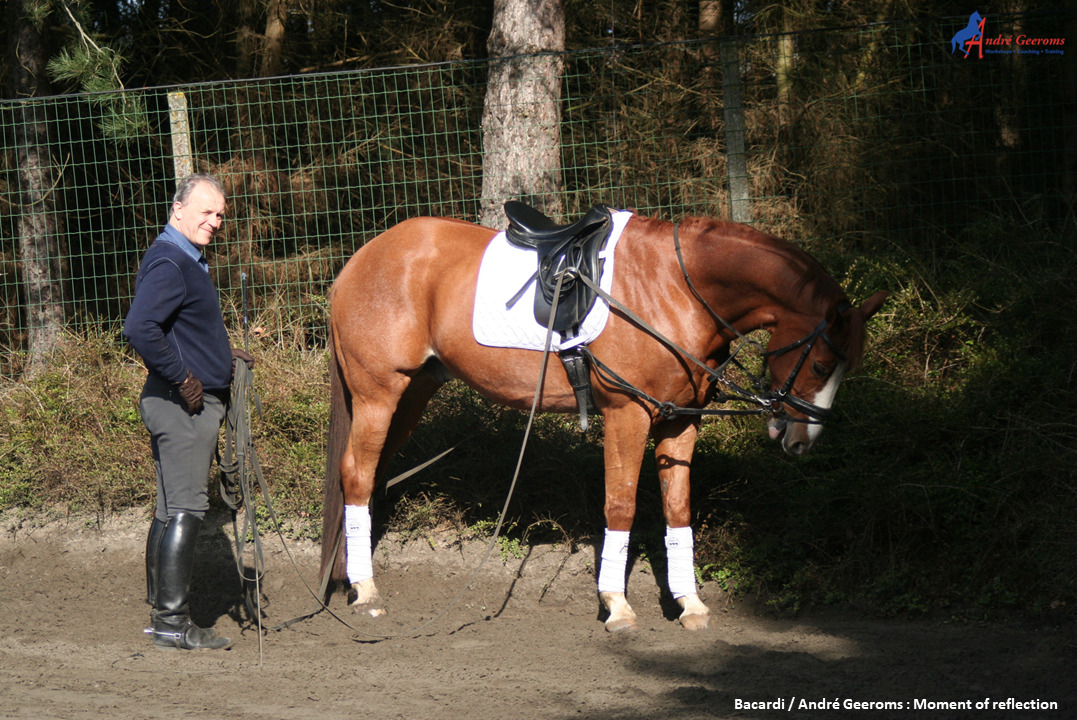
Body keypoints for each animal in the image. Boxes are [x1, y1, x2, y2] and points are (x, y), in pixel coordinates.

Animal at [314, 210, 887, 632]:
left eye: (847, 368)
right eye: (821, 364)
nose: (802, 441)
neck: (678, 291)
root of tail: (358, 260)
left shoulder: (680, 421)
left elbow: (678, 509)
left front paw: (689, 603)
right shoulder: (627, 415)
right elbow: (622, 506)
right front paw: (617, 604)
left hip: (413, 392)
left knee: (367, 475)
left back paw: (350, 577)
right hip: (378, 394)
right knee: (358, 475)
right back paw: (366, 589)